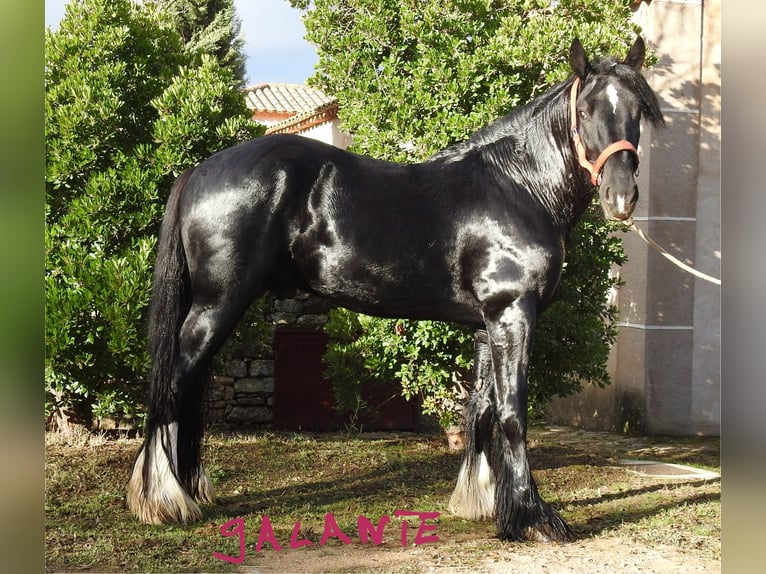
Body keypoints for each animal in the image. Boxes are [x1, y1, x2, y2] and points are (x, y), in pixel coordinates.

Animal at [127, 37, 664, 544]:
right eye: (586, 111)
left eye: (637, 111)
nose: (621, 197)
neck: (517, 187)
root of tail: (199, 170)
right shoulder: (512, 312)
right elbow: (512, 414)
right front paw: (534, 519)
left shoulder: (488, 323)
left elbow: (482, 409)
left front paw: (483, 504)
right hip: (218, 303)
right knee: (172, 383)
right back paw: (162, 499)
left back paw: (185, 488)